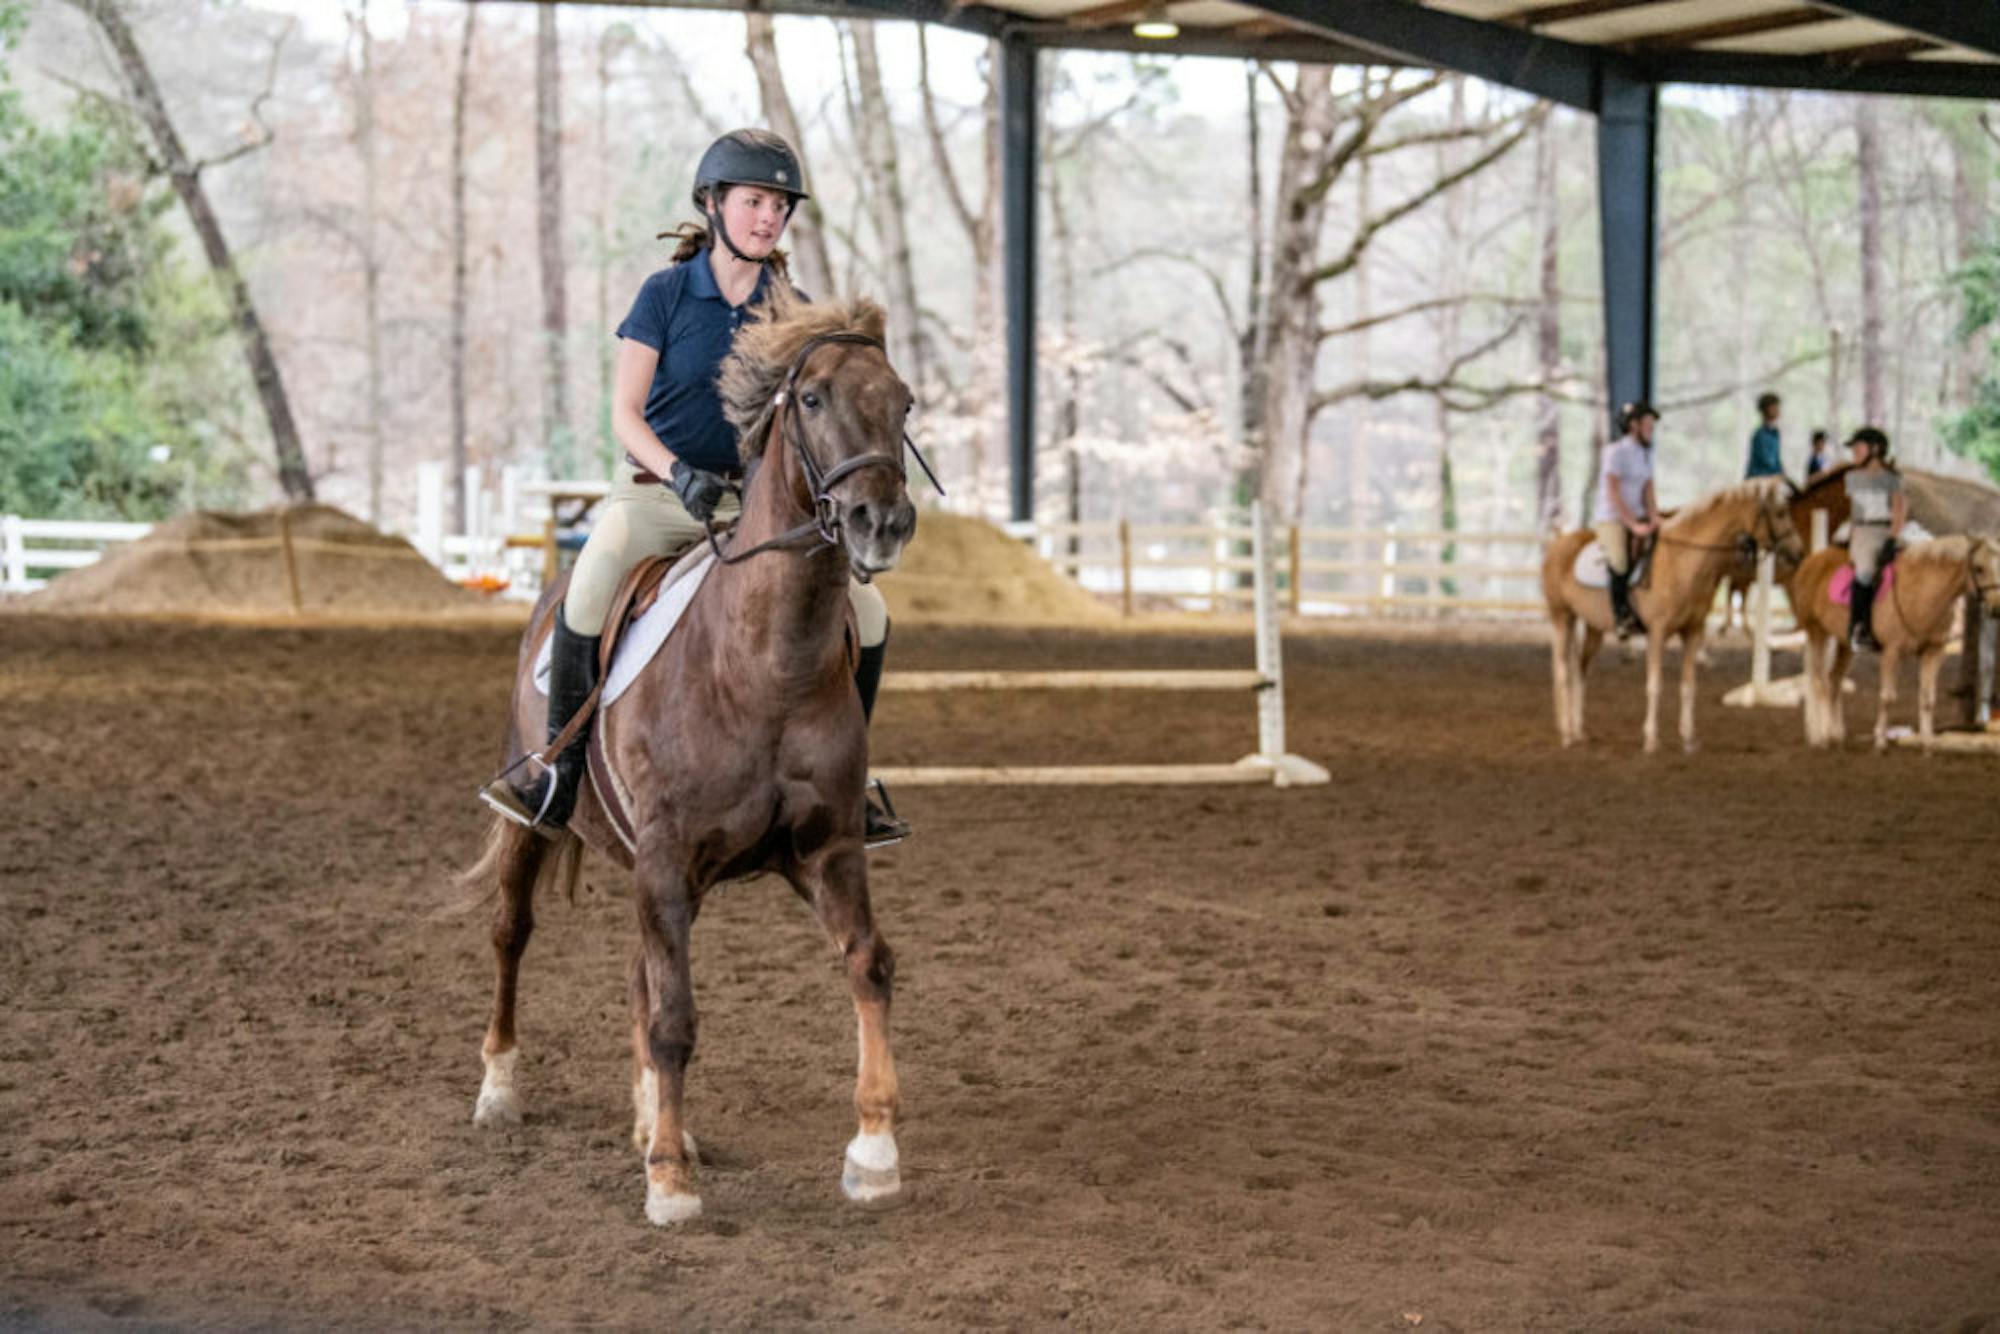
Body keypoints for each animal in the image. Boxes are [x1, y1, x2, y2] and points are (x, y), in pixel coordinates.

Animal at [458, 294, 916, 1232]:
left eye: (904, 402)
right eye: (810, 398)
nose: (881, 524)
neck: (766, 664)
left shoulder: (828, 852)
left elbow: (868, 964)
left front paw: (873, 1153)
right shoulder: (668, 863)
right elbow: (674, 1017)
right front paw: (670, 1183)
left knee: (638, 975)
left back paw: (645, 1122)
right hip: (537, 824)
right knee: (512, 933)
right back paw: (501, 1090)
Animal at [1536, 478, 1808, 752]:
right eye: (1780, 513)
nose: (1799, 552)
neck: (1684, 560)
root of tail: (1557, 545)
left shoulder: (1693, 631)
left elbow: (1688, 686)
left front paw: (1688, 739)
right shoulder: (1657, 633)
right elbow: (1654, 685)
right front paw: (1651, 739)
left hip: (1594, 628)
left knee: (1580, 670)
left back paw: (1578, 731)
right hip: (1561, 617)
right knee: (1561, 671)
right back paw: (1566, 734)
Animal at [1792, 536, 2000, 756]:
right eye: (1979, 568)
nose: (1996, 608)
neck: (1921, 592)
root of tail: (1812, 561)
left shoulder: (1933, 652)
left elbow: (1928, 699)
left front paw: (1927, 745)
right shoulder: (1892, 652)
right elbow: (1887, 697)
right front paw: (1880, 742)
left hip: (1845, 643)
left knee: (1834, 680)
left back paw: (1836, 736)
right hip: (1817, 632)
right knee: (1819, 681)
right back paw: (1822, 738)